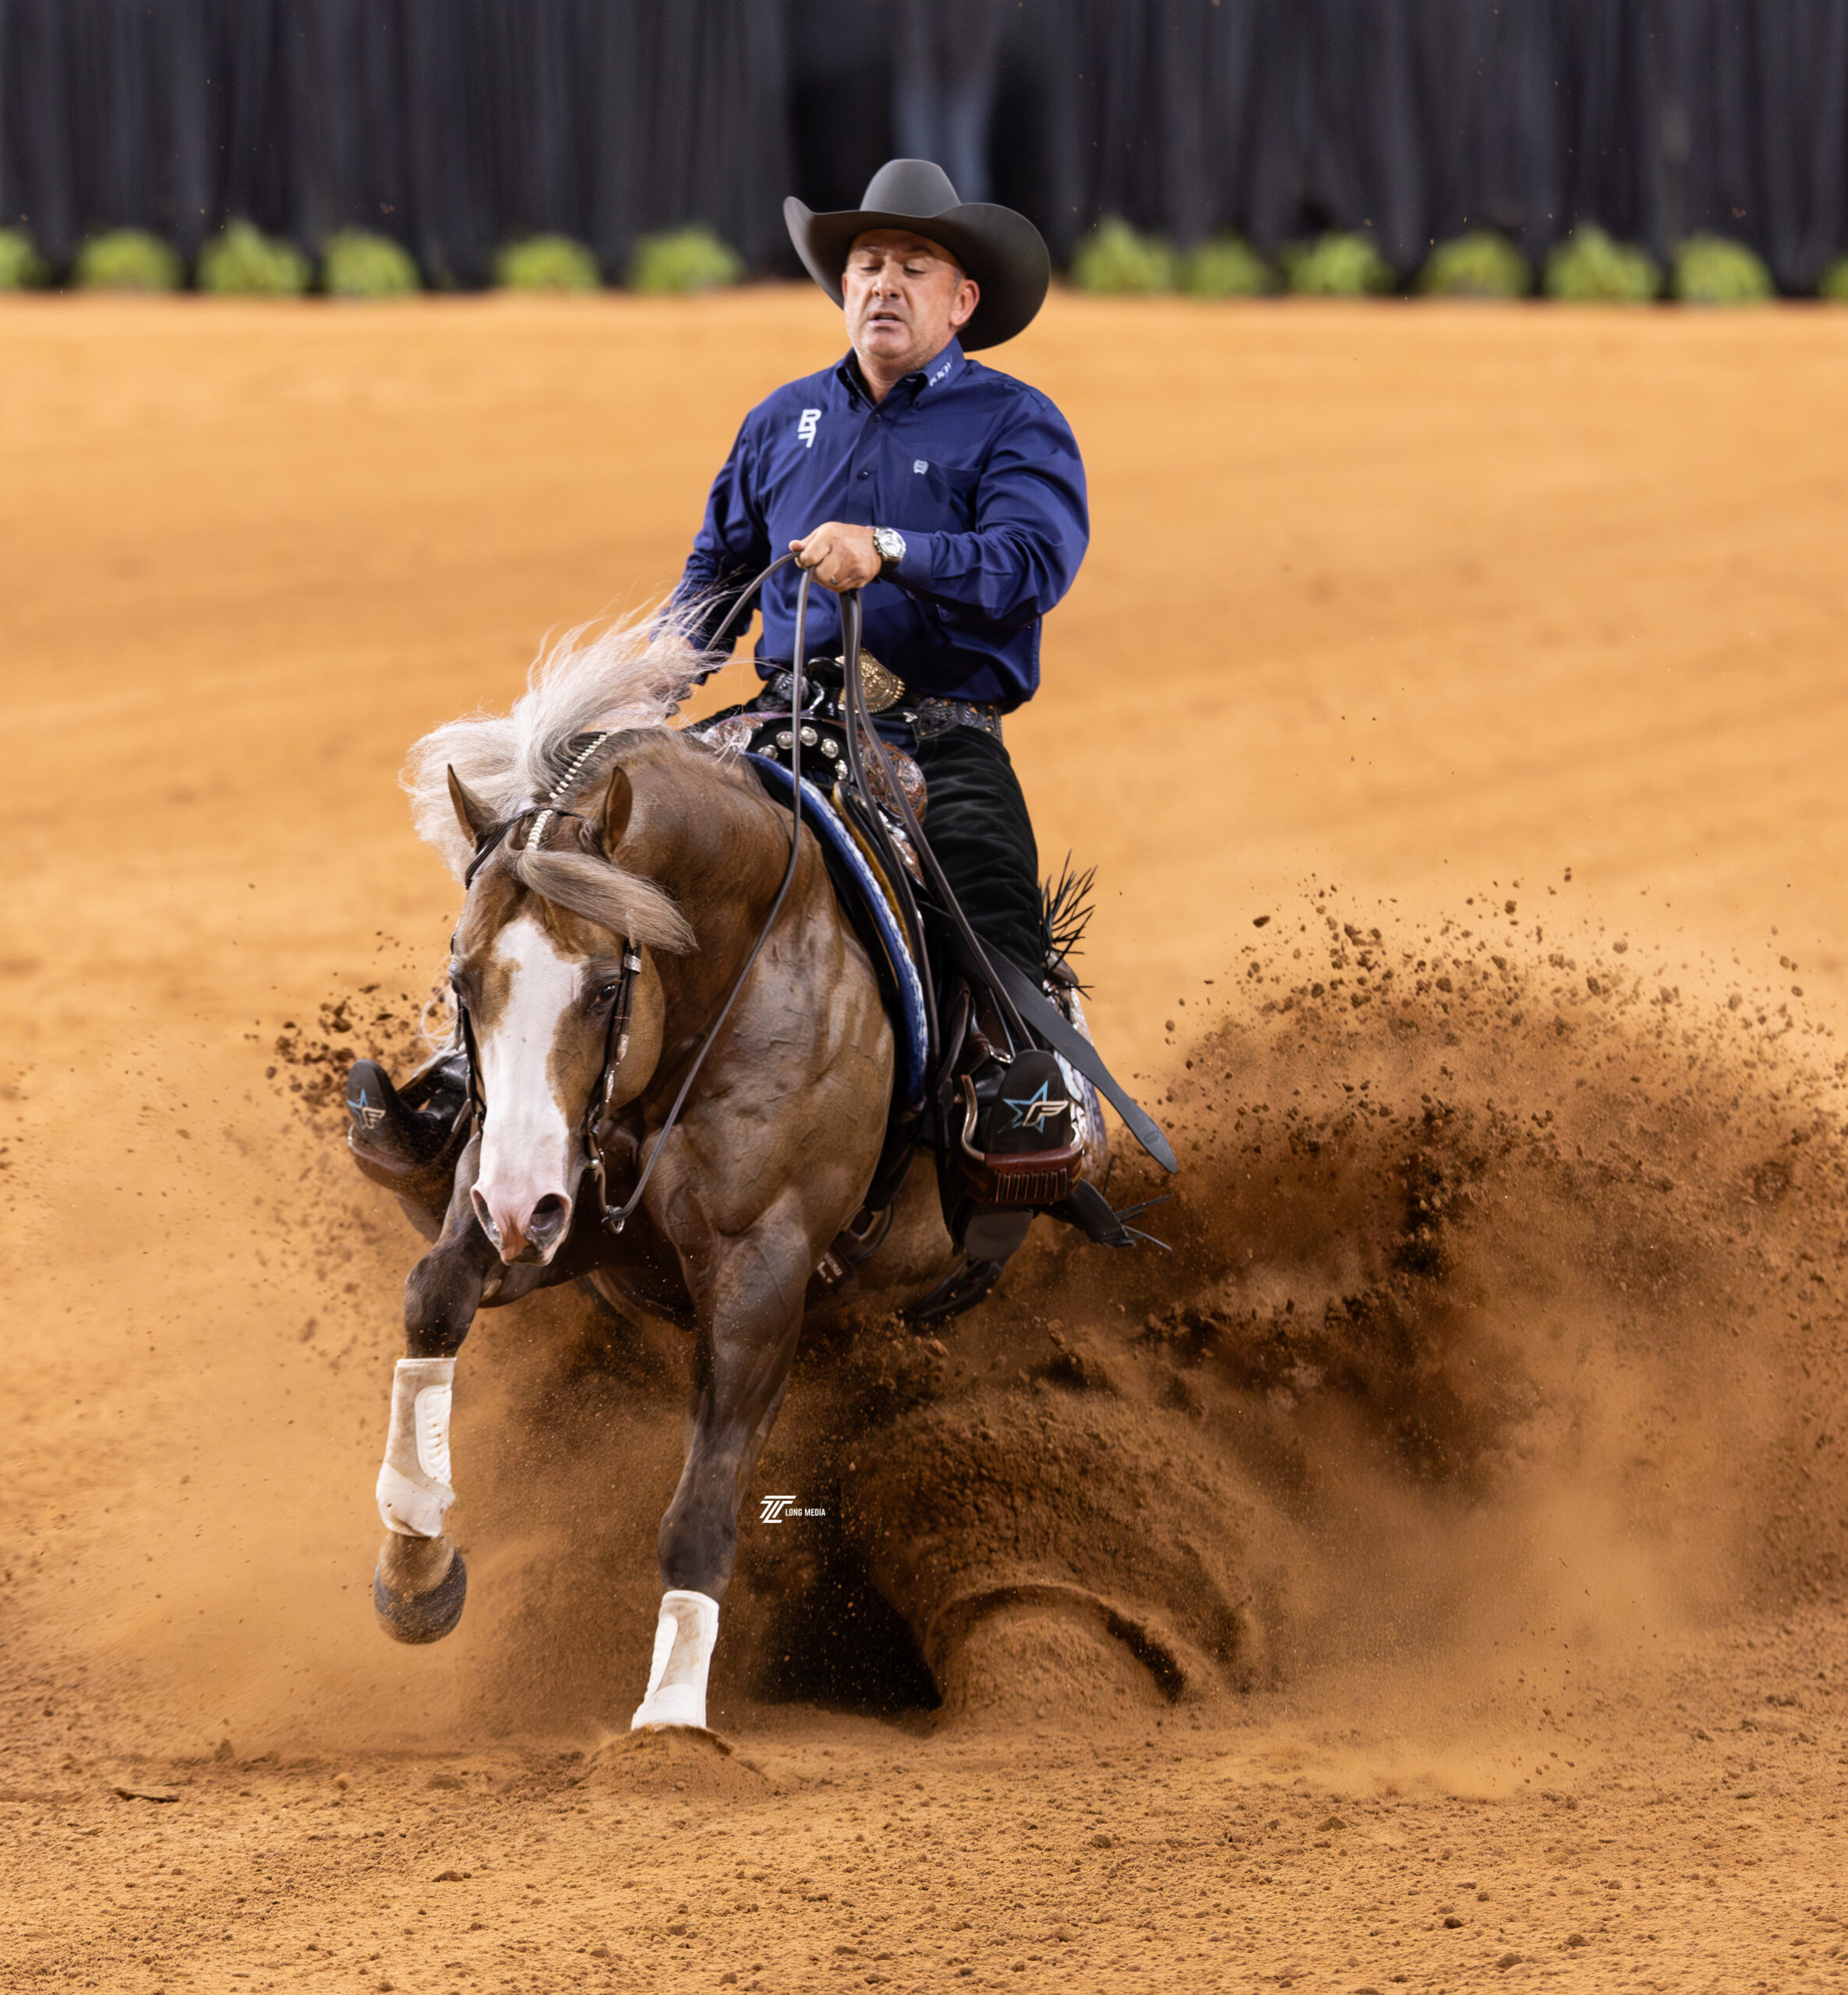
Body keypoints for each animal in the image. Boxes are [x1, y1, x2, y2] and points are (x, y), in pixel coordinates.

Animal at [364, 612, 1103, 1730]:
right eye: (462, 979)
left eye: (603, 985)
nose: (516, 1206)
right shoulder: (551, 1210)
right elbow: (435, 1293)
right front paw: (414, 1568)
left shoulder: (761, 1269)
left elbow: (701, 1507)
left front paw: (671, 1718)